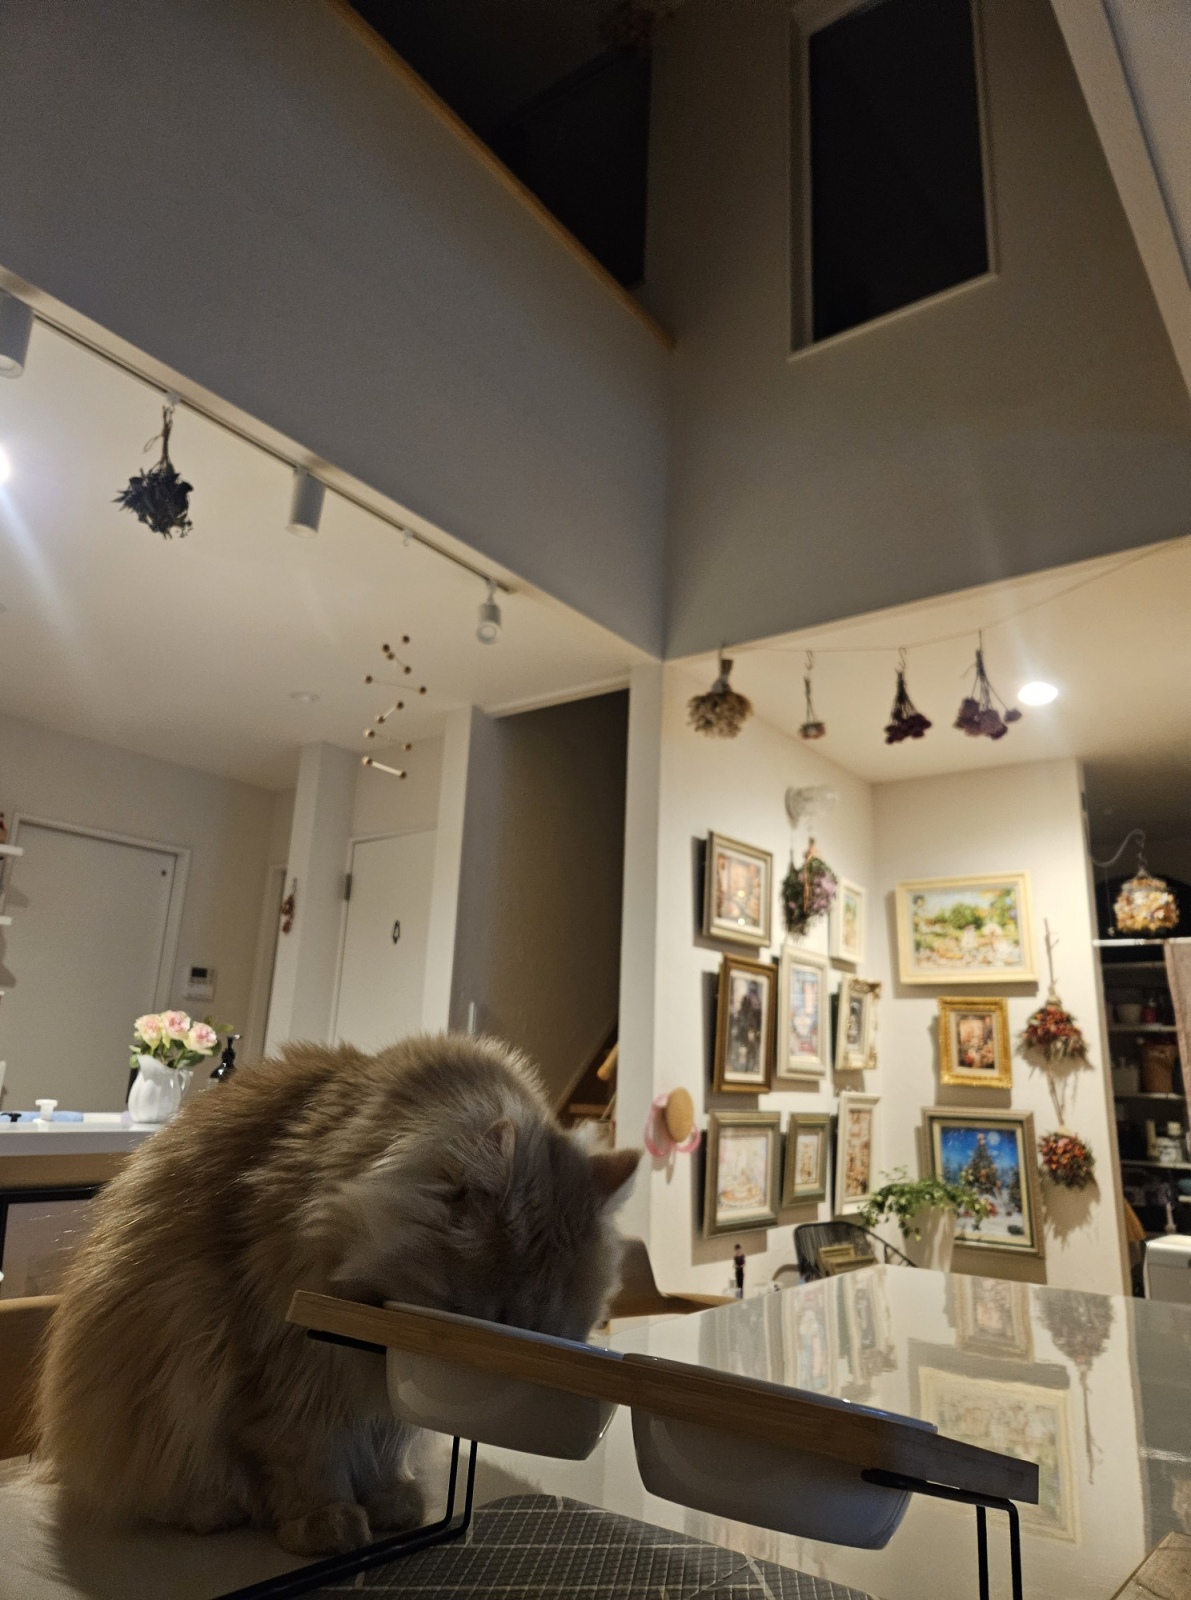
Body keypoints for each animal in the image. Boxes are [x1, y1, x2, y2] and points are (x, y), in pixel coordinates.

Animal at [36, 1033, 639, 1556]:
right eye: (488, 1326)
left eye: (550, 1339)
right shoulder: (288, 1364)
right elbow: (307, 1454)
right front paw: (323, 1520)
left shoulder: (381, 1397)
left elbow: (384, 1449)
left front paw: (389, 1502)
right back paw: (211, 1511)